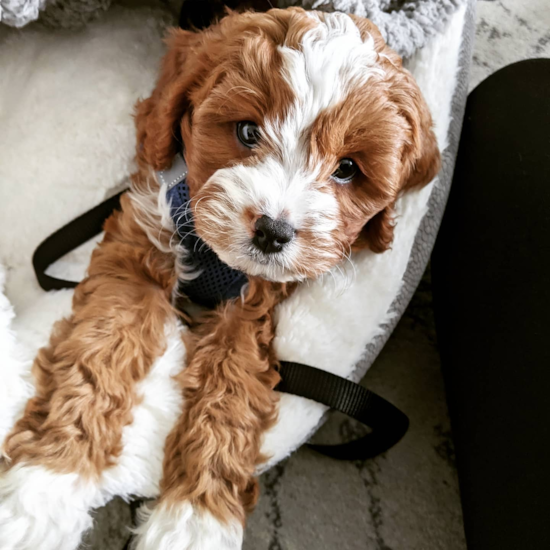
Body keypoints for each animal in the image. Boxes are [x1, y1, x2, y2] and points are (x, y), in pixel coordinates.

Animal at [0, 7, 440, 550]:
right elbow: (96, 354)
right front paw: (43, 490)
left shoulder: (252, 310)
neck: (217, 257)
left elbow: (230, 393)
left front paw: (192, 524)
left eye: (346, 169)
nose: (273, 232)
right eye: (248, 132)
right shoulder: (138, 247)